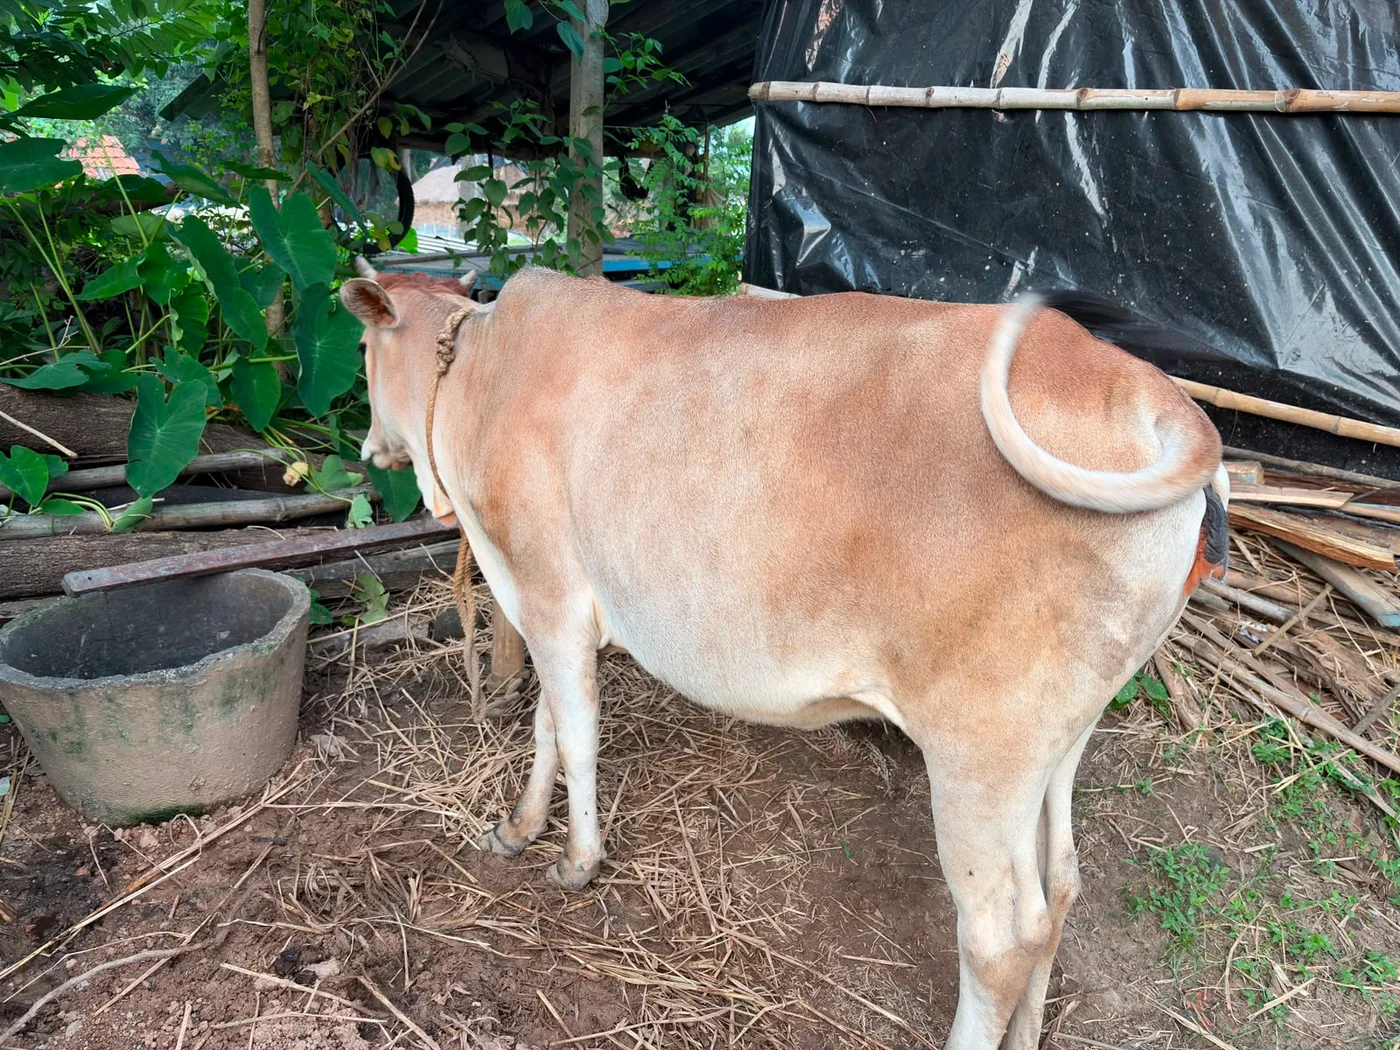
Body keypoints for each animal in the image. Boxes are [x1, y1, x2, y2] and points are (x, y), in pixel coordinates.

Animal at [339, 261, 1228, 1050]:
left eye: (362, 346)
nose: (367, 443)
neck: (479, 381)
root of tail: (1149, 391)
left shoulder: (549, 592)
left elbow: (576, 731)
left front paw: (576, 860)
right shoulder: (538, 598)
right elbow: (548, 727)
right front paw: (519, 828)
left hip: (983, 750)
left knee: (1000, 938)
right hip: (1062, 735)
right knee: (1061, 887)